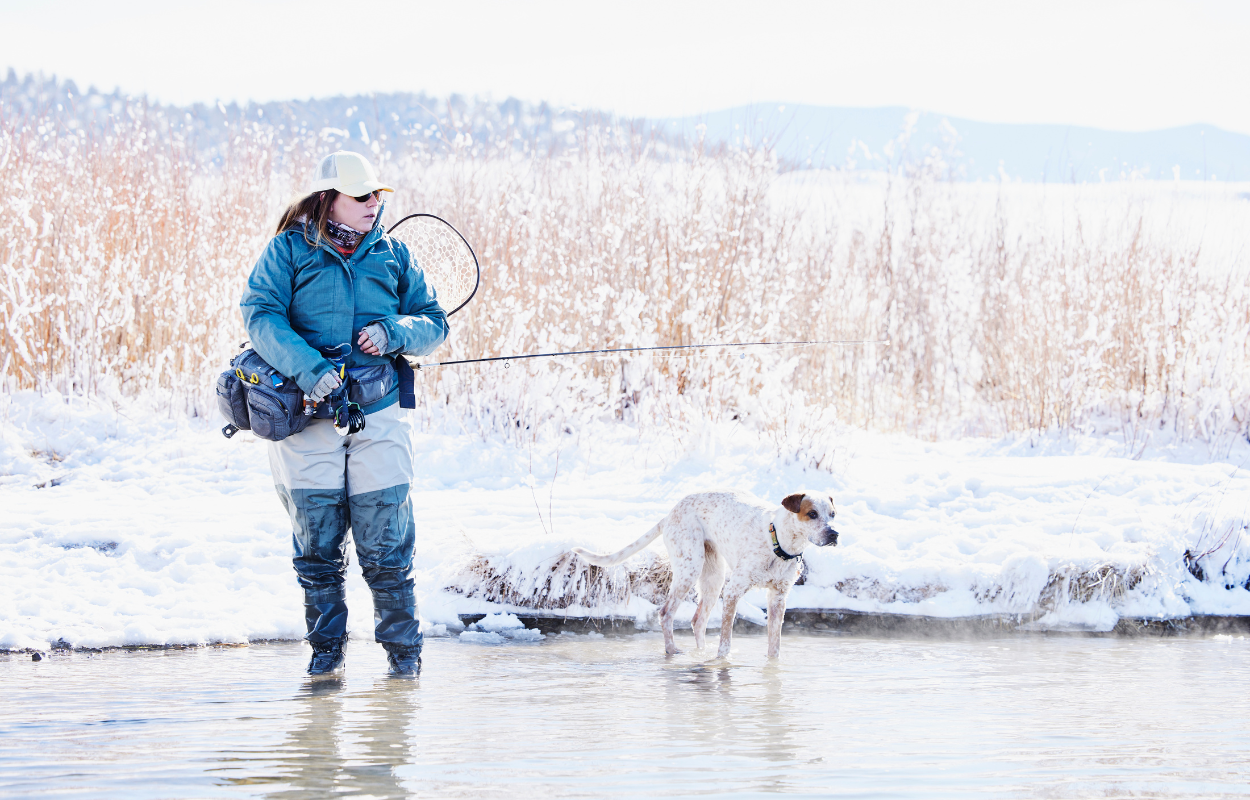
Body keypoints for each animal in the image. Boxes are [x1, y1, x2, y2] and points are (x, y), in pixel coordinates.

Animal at [575, 490, 840, 660]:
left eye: (833, 514)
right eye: (812, 514)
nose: (834, 534)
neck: (779, 544)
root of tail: (670, 513)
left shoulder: (778, 598)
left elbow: (774, 648)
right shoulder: (733, 591)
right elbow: (725, 643)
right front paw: (722, 664)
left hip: (714, 578)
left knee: (698, 620)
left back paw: (699, 653)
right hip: (690, 570)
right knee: (666, 613)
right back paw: (672, 651)